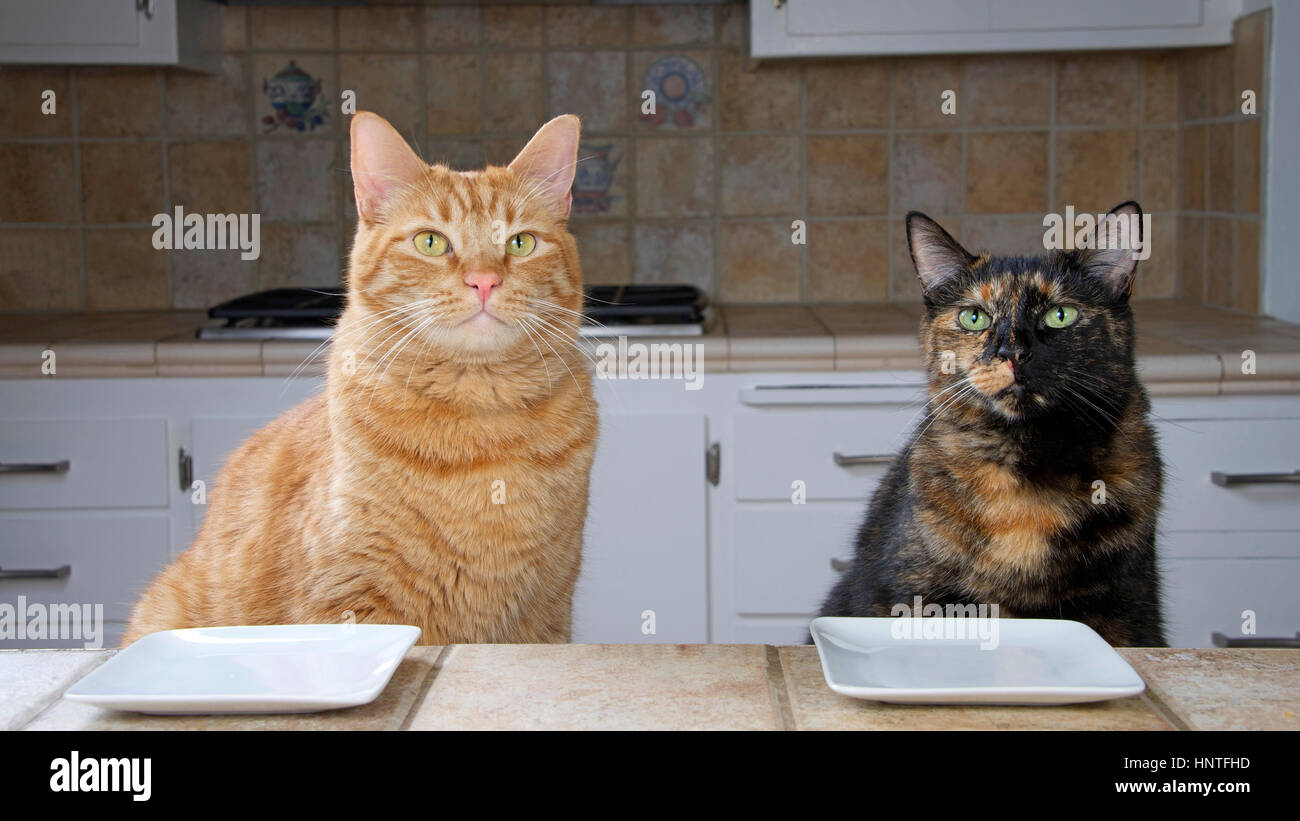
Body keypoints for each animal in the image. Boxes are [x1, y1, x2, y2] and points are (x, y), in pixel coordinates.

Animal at [119, 110, 595, 646]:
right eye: (431, 241)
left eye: (520, 242)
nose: (484, 281)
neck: (480, 425)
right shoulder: (356, 606)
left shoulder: (547, 613)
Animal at [816, 202, 1164, 644]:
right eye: (974, 317)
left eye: (1060, 314)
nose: (1011, 351)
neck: (1026, 476)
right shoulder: (911, 593)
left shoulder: (1127, 605)